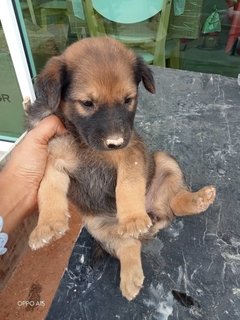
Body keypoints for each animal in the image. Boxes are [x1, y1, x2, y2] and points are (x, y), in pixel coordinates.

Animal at [23, 36, 216, 302]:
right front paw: (48, 225)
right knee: (128, 244)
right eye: (87, 103)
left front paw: (133, 217)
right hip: (99, 229)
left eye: (128, 100)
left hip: (164, 161)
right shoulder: (53, 158)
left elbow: (128, 184)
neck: (82, 141)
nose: (115, 142)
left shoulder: (130, 151)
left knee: (175, 203)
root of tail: (153, 211)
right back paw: (131, 277)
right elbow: (47, 190)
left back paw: (195, 200)